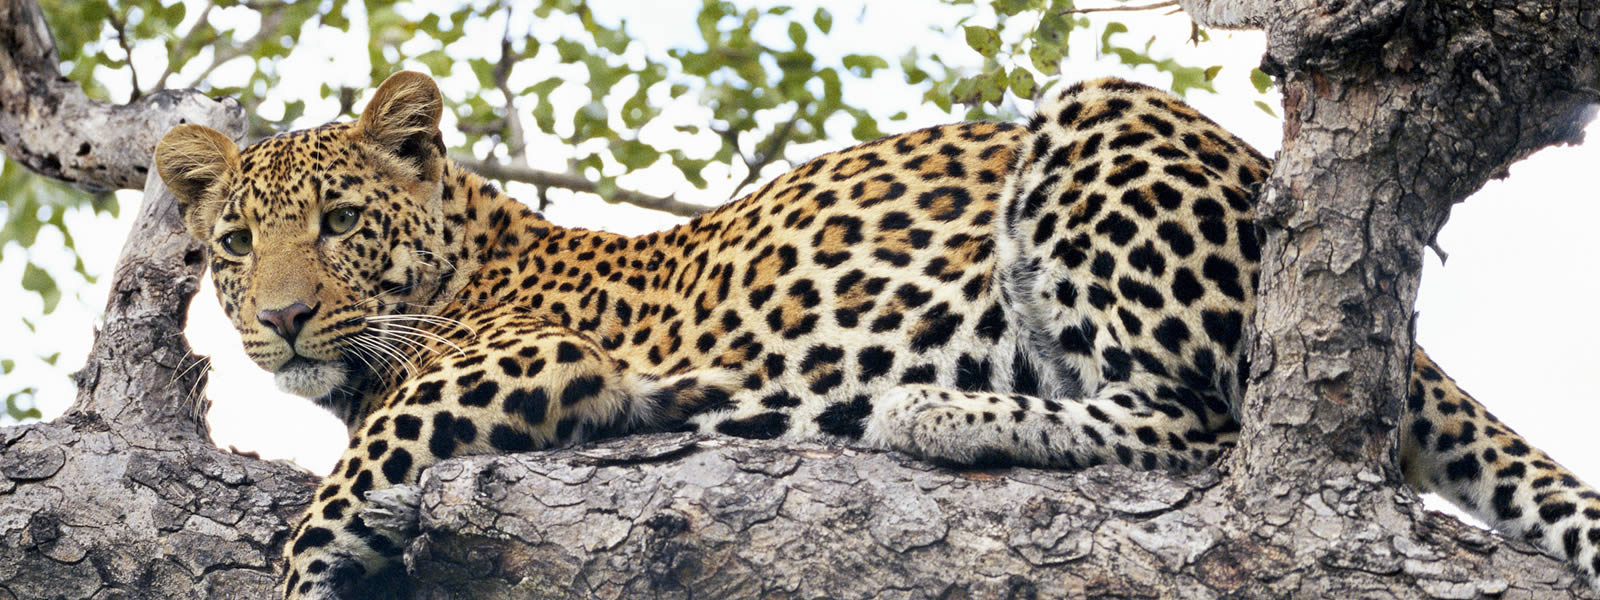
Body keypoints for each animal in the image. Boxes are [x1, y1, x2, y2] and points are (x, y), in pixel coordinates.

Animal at [156, 69, 1600, 598]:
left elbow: (346, 480)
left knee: (1198, 425)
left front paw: (306, 567)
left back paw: (935, 411)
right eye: (234, 247)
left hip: (1098, 122)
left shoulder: (533, 357)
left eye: (341, 222)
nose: (279, 320)